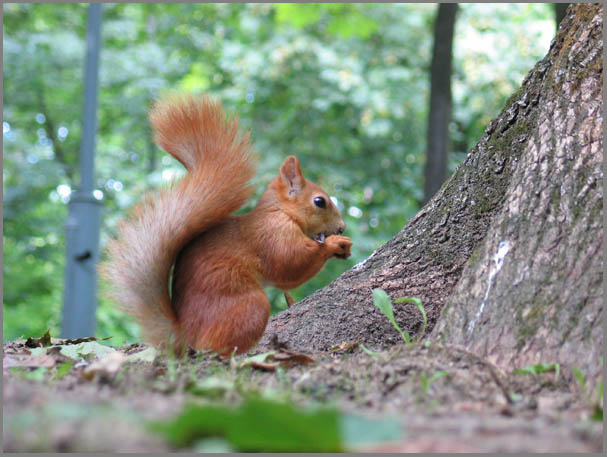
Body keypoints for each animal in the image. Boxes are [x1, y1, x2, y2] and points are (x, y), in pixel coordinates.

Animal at [101, 93, 352, 356]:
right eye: (319, 202)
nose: (341, 227)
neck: (281, 212)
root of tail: (183, 335)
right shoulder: (272, 234)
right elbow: (290, 263)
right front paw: (335, 244)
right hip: (248, 306)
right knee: (212, 347)